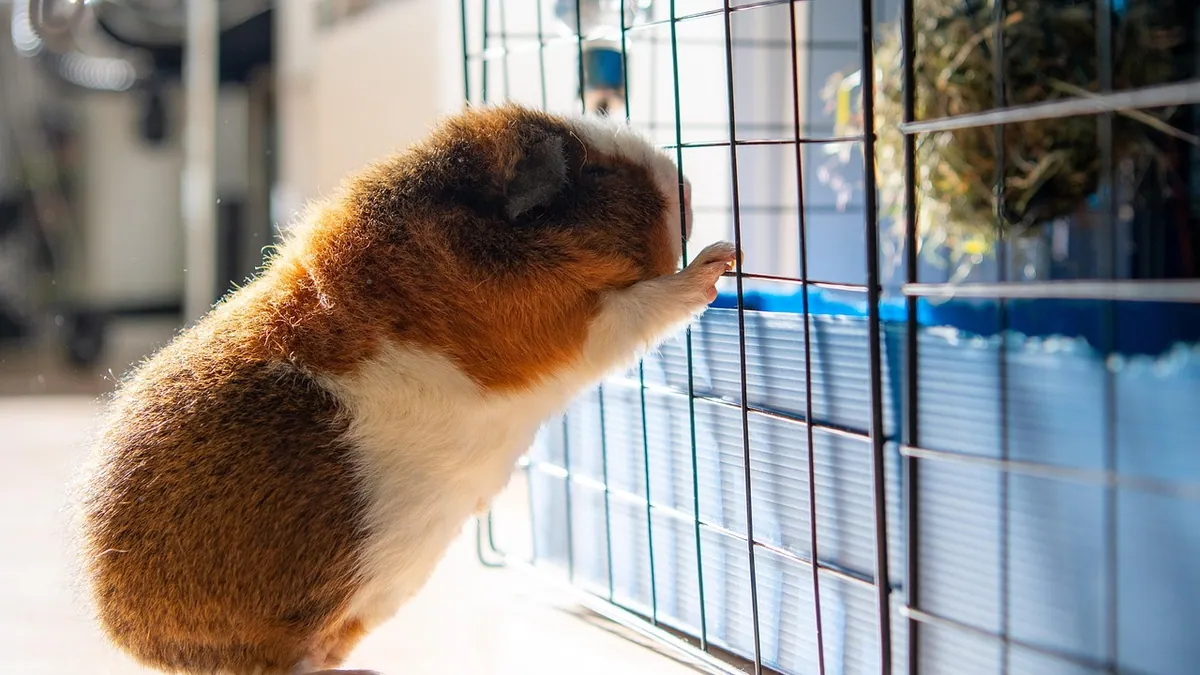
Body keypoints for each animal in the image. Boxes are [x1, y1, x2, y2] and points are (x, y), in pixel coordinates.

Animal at [72, 102, 737, 675]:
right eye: (594, 172)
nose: (687, 184)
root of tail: (128, 633)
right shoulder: (569, 330)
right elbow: (639, 311)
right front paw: (716, 262)